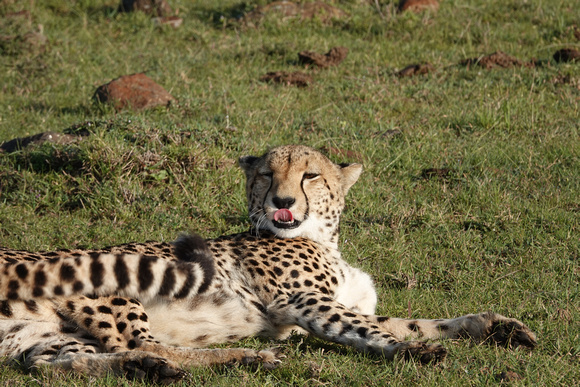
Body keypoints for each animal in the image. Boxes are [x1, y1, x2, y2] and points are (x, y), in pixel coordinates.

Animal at [0, 147, 536, 384]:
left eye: (311, 175)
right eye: (264, 175)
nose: (282, 201)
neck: (322, 236)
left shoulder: (335, 303)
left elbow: (415, 321)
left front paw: (495, 325)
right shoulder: (301, 300)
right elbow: (375, 330)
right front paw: (411, 352)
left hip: (40, 338)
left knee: (61, 364)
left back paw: (154, 366)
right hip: (112, 287)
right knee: (157, 346)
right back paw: (243, 357)